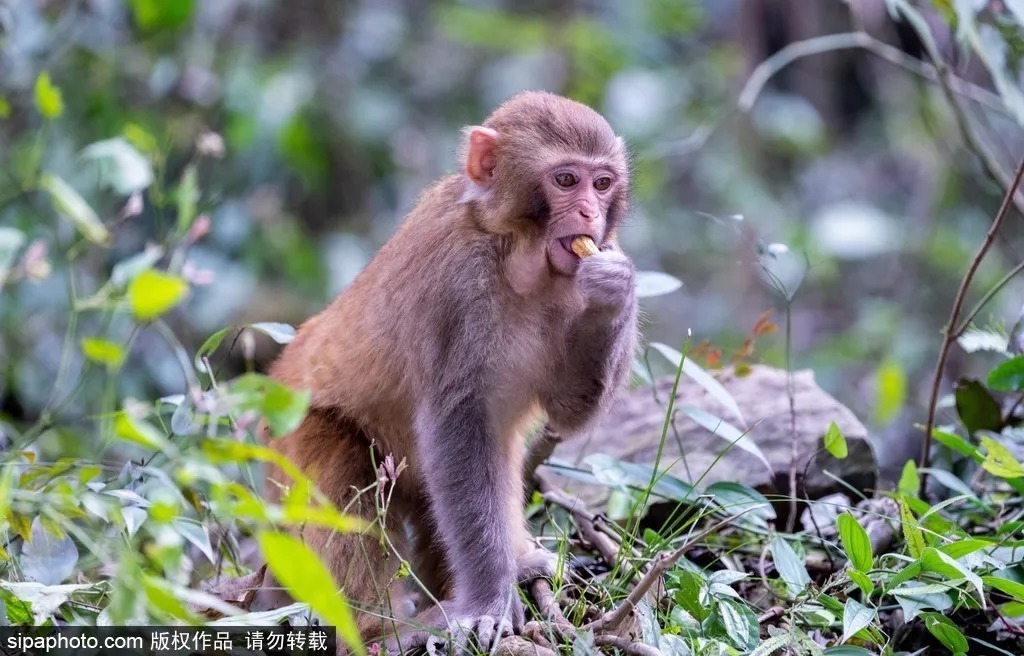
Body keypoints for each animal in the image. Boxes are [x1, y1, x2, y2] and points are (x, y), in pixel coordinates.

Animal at [256, 91, 634, 650]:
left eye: (602, 183)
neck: (515, 252)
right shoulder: (456, 282)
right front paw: (485, 604)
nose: (589, 211)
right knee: (350, 482)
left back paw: (517, 564)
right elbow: (456, 428)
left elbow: (566, 410)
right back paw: (381, 628)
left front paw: (614, 290)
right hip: (291, 440)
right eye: (567, 180)